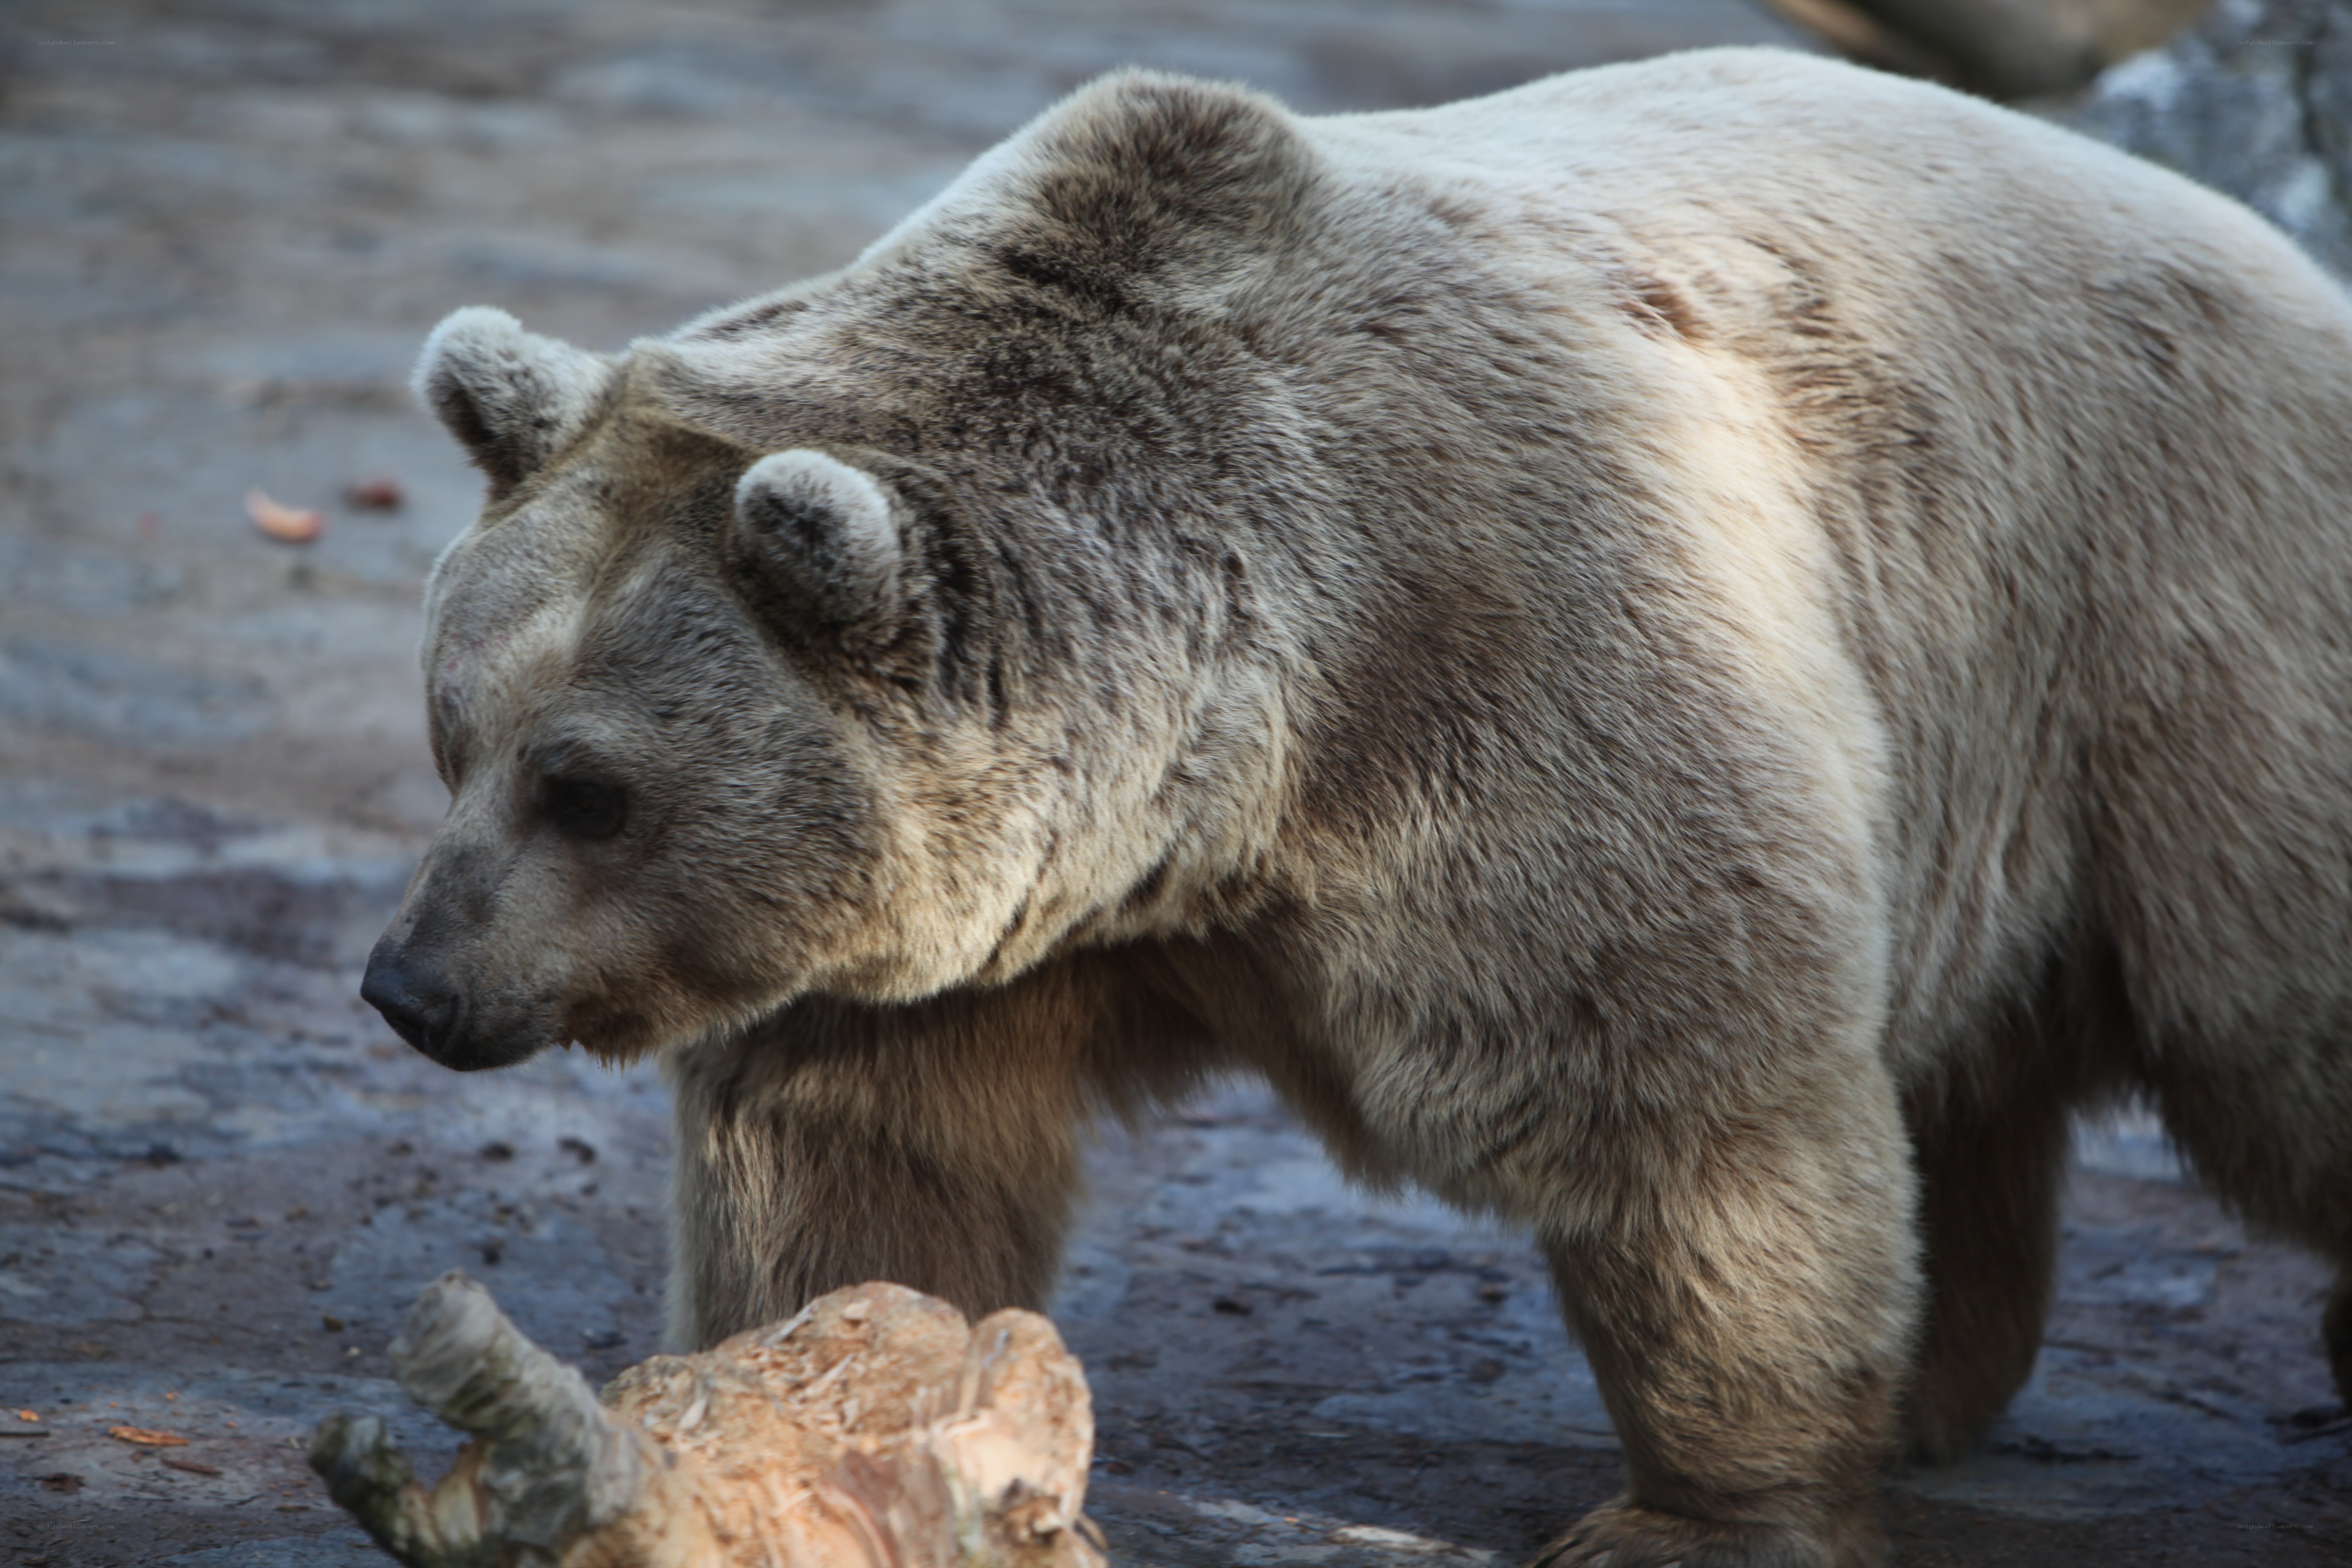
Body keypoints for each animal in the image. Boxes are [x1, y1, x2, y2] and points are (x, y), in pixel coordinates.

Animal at [362, 47, 2352, 1568]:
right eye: (454, 734)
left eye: (588, 788)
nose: (412, 983)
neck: (1240, 760)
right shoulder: (957, 946)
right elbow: (866, 1170)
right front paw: (826, 1409)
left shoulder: (1541, 666)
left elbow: (1700, 1110)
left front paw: (1693, 1514)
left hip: (2170, 636)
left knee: (2275, 1016)